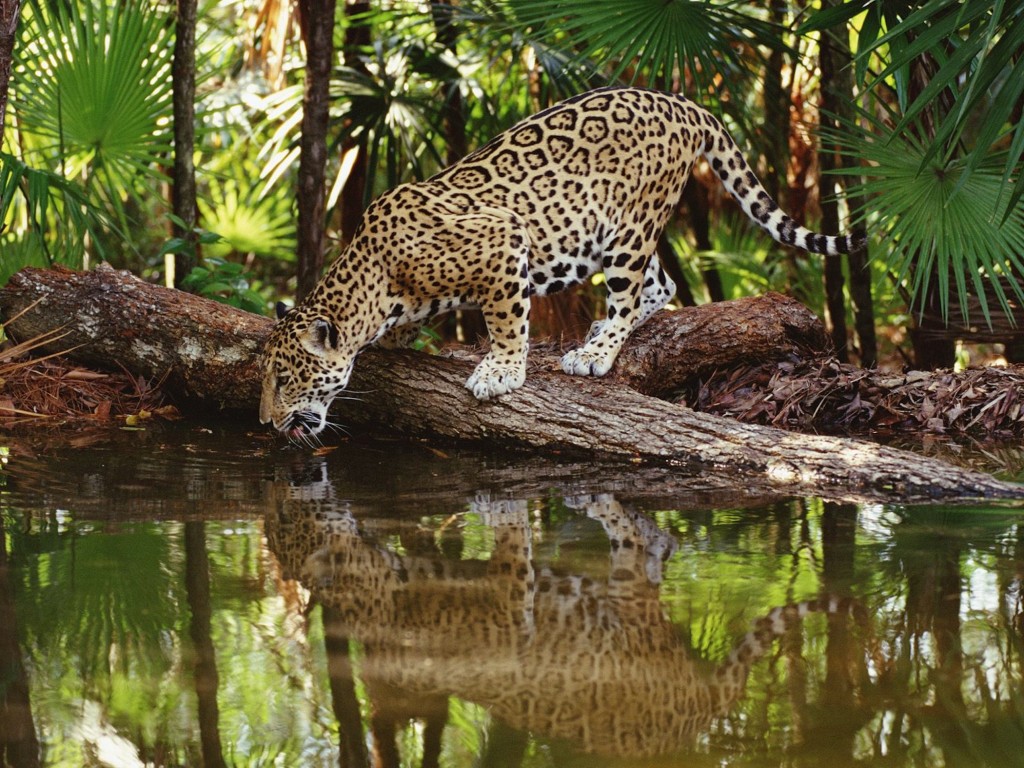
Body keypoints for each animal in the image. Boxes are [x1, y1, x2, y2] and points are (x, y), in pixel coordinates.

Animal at [260, 85, 865, 440]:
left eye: (285, 378)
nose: (266, 422)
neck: (374, 279)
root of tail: (683, 103)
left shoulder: (503, 239)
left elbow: (506, 320)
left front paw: (501, 370)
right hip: (608, 233)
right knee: (663, 283)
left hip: (629, 227)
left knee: (631, 290)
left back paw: (595, 351)